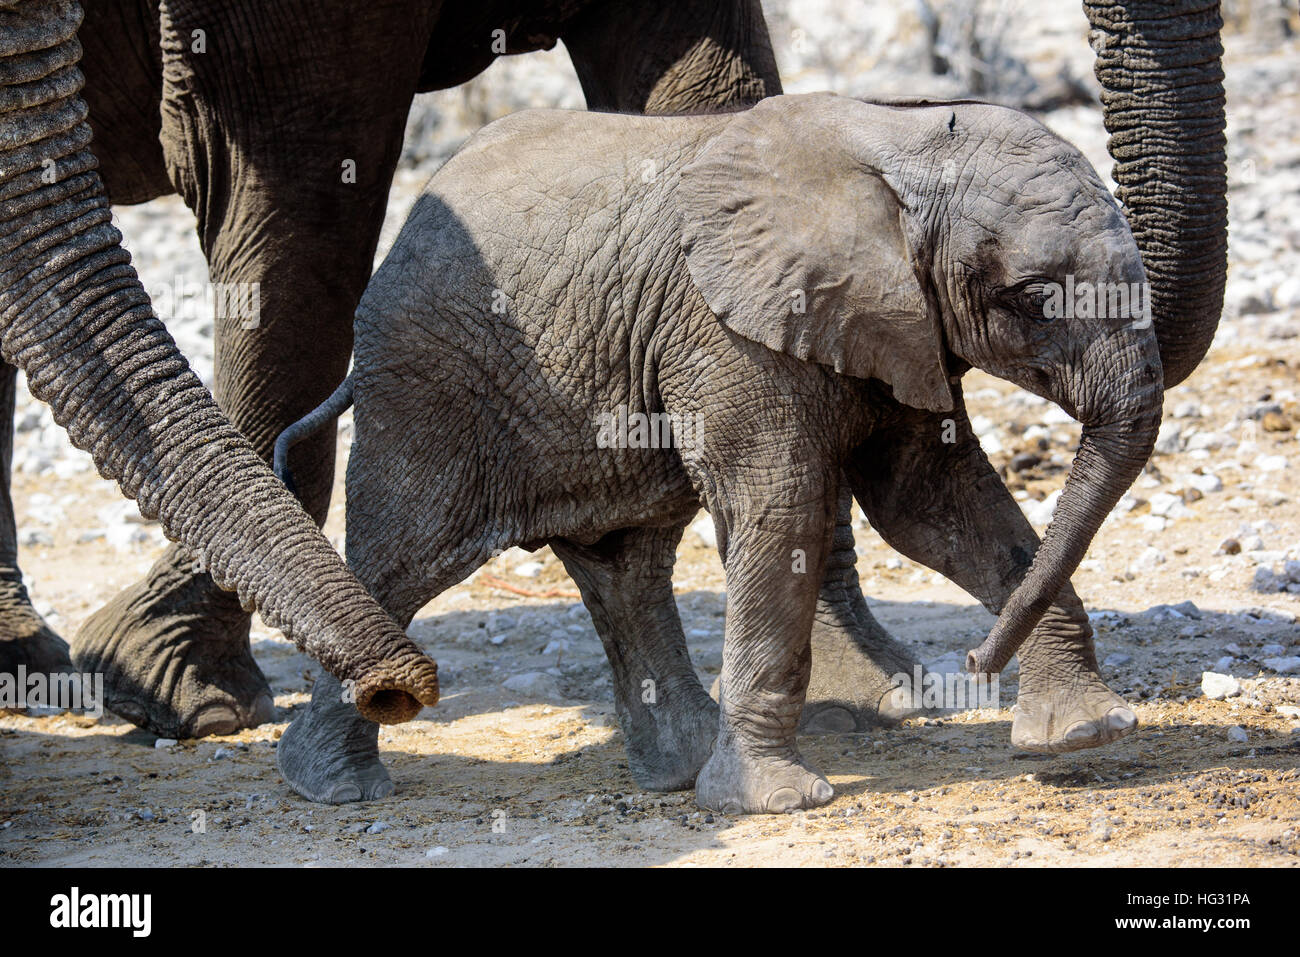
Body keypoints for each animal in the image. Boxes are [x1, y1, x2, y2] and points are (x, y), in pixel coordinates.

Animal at [279, 91, 1164, 816]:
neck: (900, 141)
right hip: (428, 382)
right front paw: (778, 802)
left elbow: (932, 507)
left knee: (624, 567)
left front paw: (1088, 730)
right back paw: (332, 786)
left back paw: (678, 768)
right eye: (1032, 296)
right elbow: (787, 509)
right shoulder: (726, 329)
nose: (978, 661)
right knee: (404, 561)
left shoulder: (900, 325)